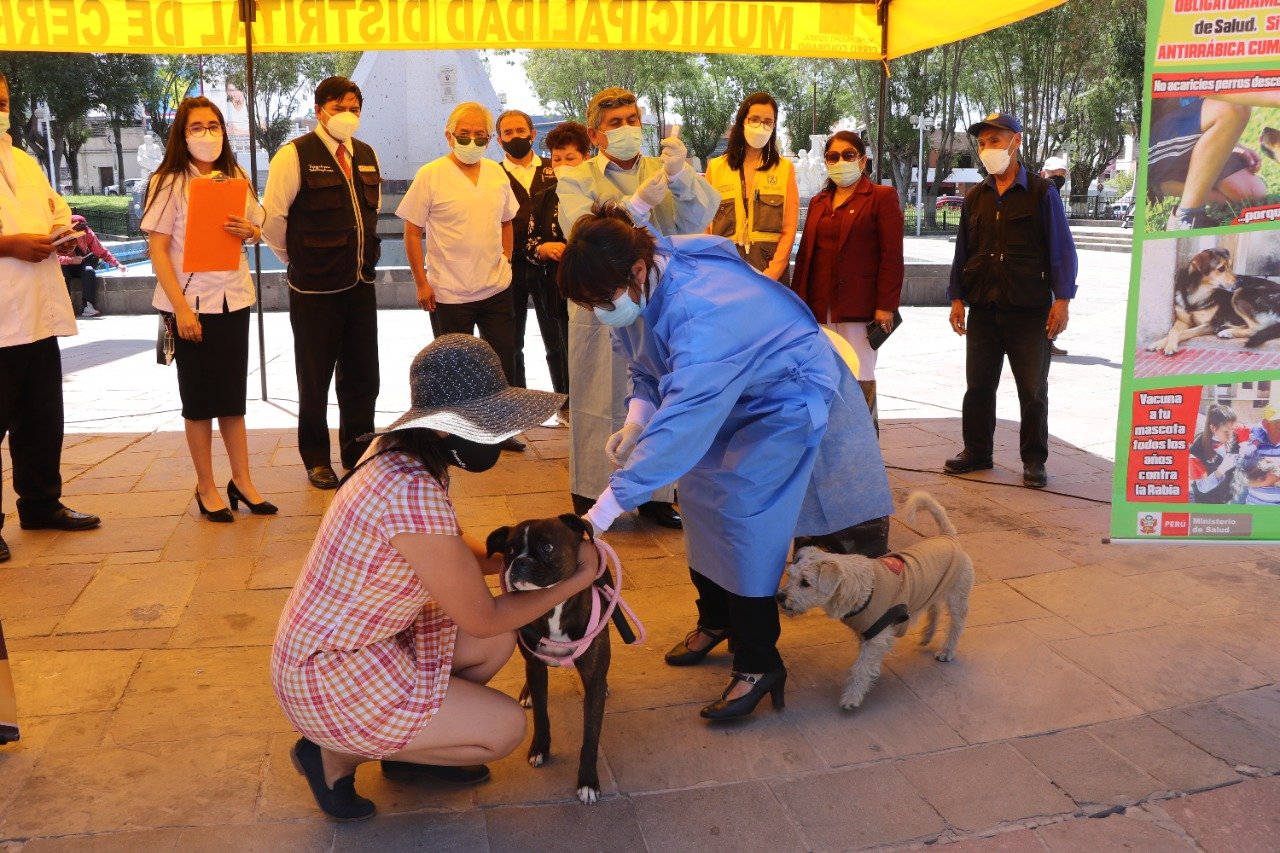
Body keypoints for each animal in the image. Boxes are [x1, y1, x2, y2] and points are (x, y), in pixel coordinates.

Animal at [773, 489, 972, 706]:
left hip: (957, 595)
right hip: (934, 589)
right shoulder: (868, 634)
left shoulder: (876, 635)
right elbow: (867, 663)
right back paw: (927, 636)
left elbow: (860, 668)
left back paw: (947, 651)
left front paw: (851, 698)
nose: (779, 596)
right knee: (934, 608)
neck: (861, 588)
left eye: (805, 583)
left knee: (956, 623)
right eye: (790, 575)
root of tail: (948, 536)